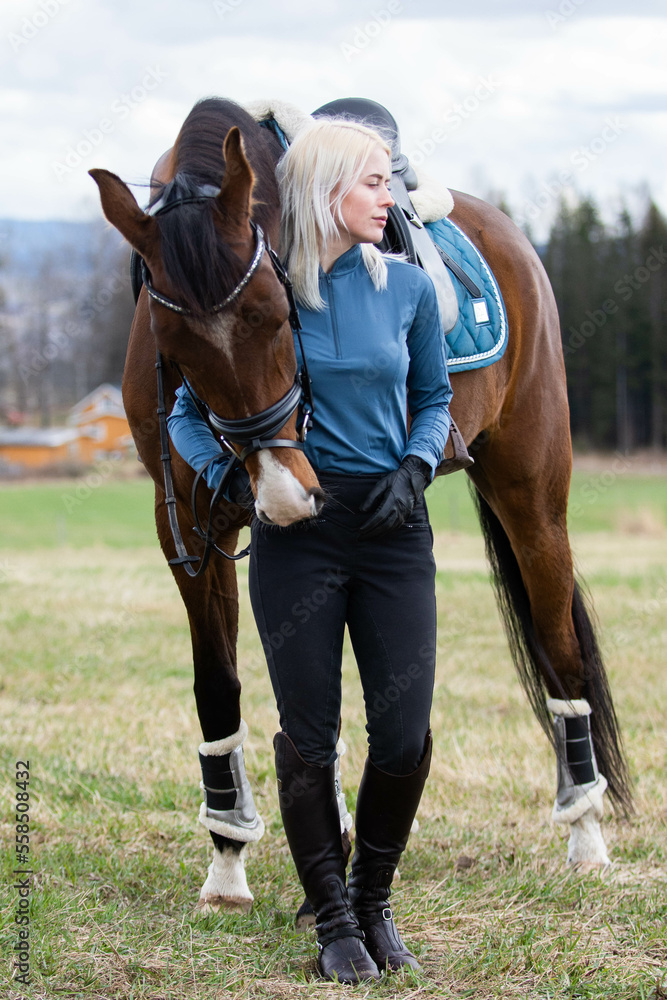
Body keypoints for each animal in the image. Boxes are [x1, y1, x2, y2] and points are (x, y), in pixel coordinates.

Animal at [90, 96, 632, 914]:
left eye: (275, 312)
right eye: (171, 343)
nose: (283, 495)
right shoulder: (184, 526)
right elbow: (221, 687)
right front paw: (228, 861)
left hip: (534, 497)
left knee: (560, 651)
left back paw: (586, 834)